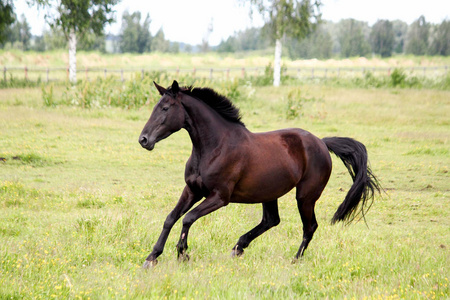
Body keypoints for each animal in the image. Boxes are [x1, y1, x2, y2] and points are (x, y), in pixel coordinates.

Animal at [139, 79, 382, 268]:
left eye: (165, 108)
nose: (144, 140)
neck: (214, 147)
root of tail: (322, 143)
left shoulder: (219, 197)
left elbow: (187, 218)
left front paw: (183, 253)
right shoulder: (192, 190)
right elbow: (171, 218)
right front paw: (152, 258)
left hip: (305, 196)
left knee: (309, 226)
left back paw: (294, 259)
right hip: (269, 193)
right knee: (271, 220)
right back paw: (238, 247)